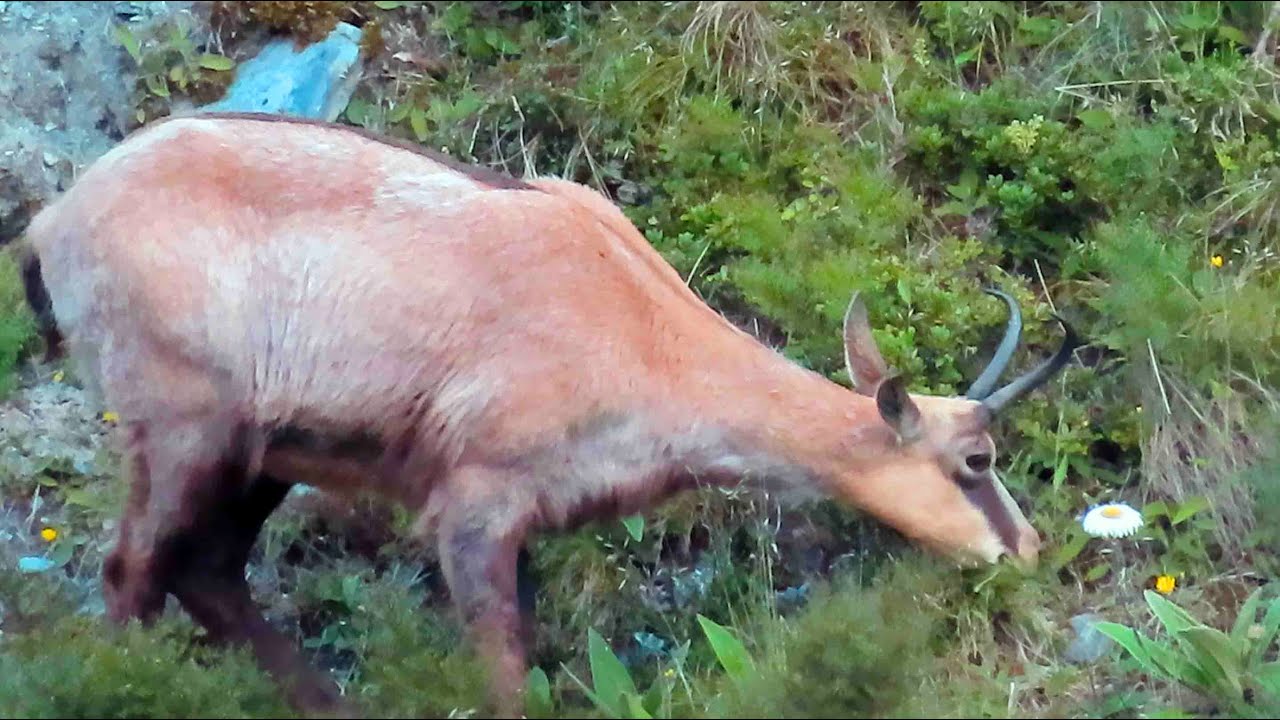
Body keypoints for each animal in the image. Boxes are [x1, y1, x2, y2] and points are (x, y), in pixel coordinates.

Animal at [4, 111, 1081, 718]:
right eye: (976, 461)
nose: (1031, 553)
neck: (634, 325)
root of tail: (54, 224)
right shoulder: (475, 501)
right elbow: (504, 665)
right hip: (183, 427)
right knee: (134, 570)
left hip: (263, 451)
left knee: (207, 572)